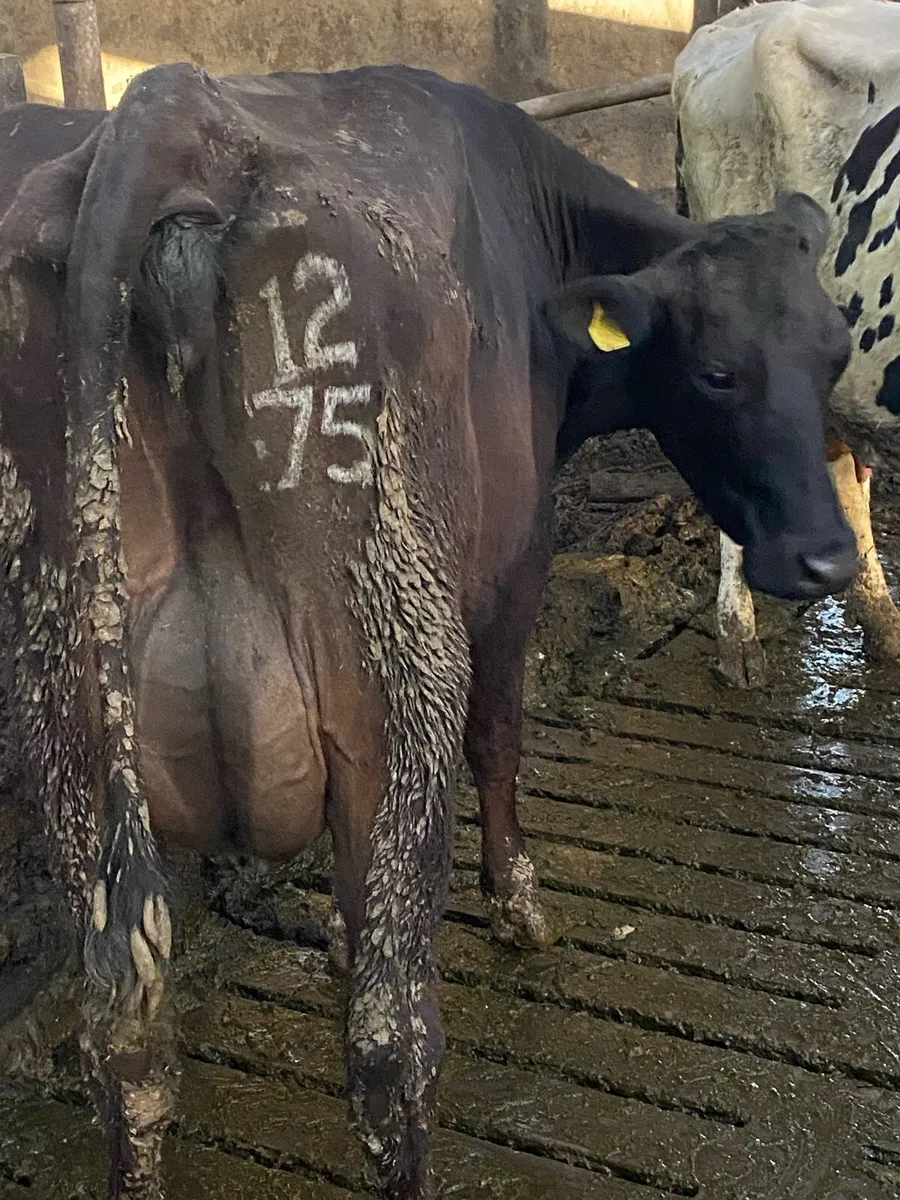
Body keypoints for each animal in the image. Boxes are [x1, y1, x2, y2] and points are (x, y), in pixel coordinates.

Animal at [0, 63, 858, 1200]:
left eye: (838, 351)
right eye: (718, 371)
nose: (826, 560)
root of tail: (172, 113)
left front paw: (333, 930)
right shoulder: (516, 562)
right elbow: (501, 740)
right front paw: (519, 907)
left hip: (72, 723)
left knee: (124, 1044)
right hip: (398, 671)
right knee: (390, 1043)